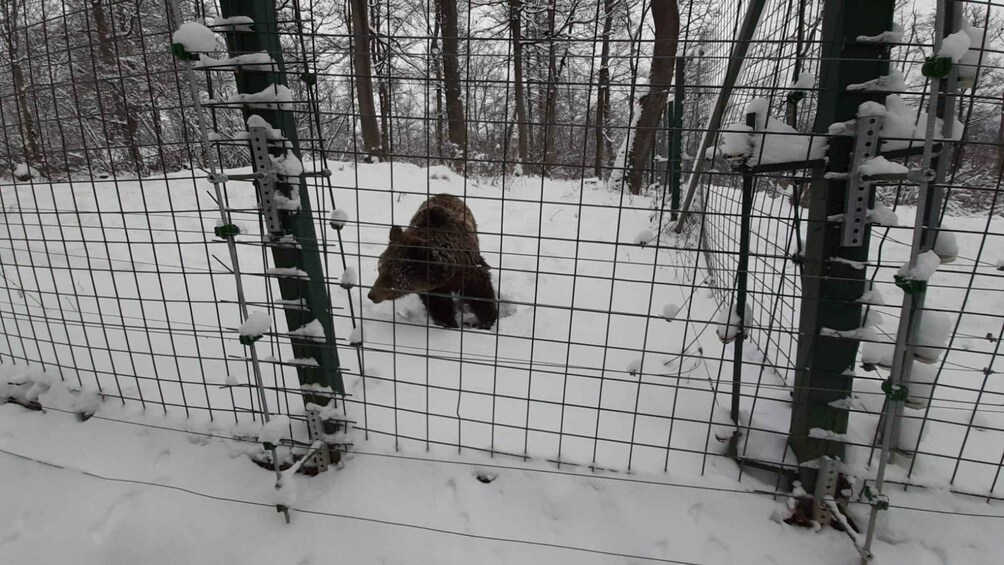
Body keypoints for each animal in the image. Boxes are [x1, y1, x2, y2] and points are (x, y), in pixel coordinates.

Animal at [365, 193, 497, 329]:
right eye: (380, 268)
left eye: (393, 275)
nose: (371, 295)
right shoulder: (433, 288)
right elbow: (439, 305)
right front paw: (448, 323)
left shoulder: (466, 271)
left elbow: (480, 293)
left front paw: (486, 321)